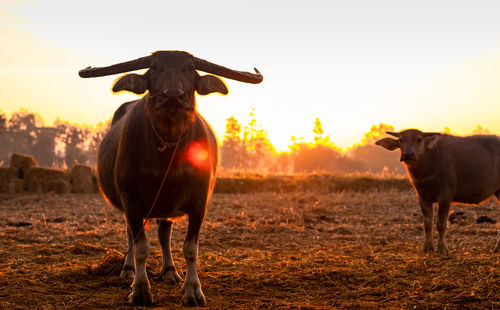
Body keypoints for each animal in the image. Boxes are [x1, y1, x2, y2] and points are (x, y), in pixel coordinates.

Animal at [78, 50, 262, 306]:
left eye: (190, 68)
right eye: (154, 67)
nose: (173, 96)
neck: (168, 152)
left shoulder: (199, 202)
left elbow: (190, 248)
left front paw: (193, 290)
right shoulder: (131, 201)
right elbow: (141, 247)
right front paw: (140, 290)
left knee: (164, 234)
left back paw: (170, 271)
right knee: (131, 234)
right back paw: (128, 270)